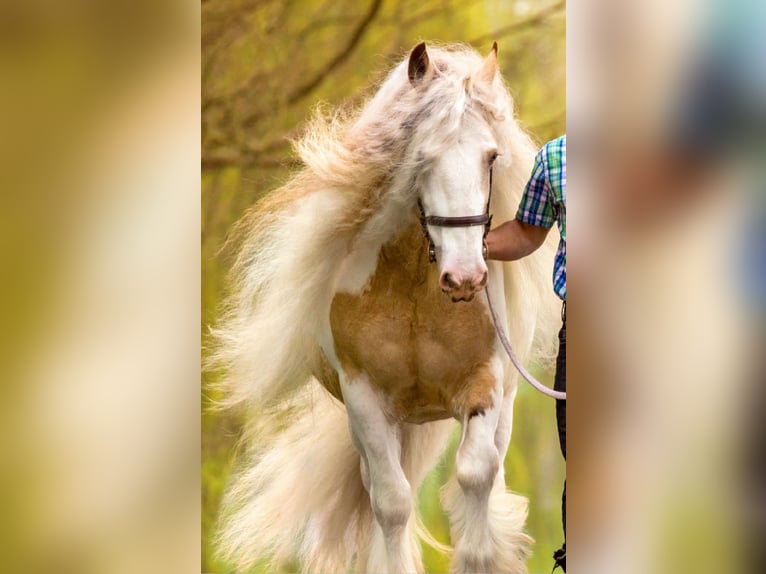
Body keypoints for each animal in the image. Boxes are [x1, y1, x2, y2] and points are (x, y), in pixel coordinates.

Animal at [208, 41, 560, 574]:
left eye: (492, 155)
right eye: (422, 155)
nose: (465, 277)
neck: (414, 288)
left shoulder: (483, 384)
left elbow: (476, 476)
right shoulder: (365, 399)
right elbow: (391, 503)